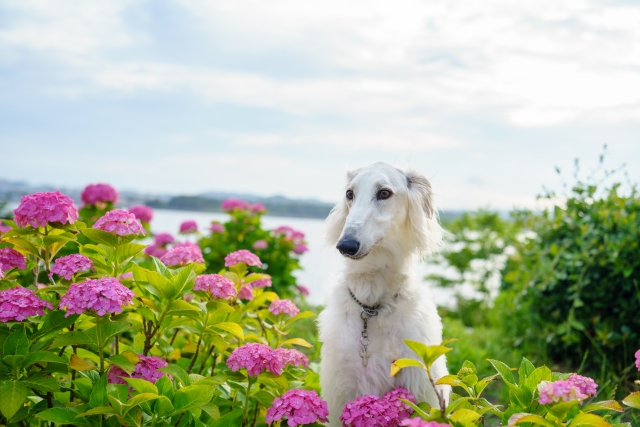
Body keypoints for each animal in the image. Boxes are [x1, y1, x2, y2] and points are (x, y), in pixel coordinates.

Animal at [318, 162, 450, 426]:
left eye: (384, 193)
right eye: (350, 193)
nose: (346, 245)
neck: (371, 306)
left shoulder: (420, 383)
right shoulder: (341, 388)